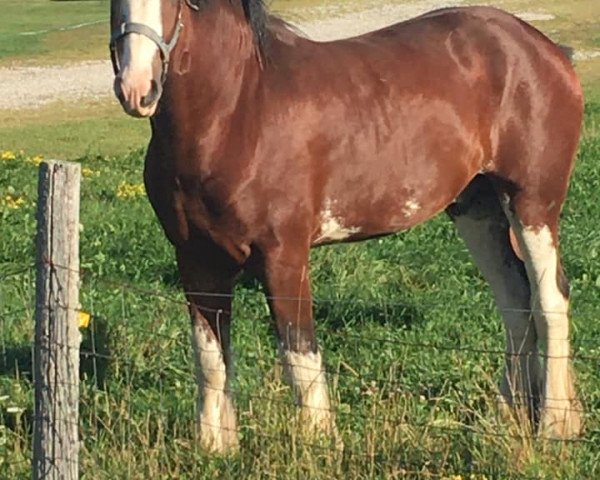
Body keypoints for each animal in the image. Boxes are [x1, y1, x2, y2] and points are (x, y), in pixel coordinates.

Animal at [108, 0, 580, 452]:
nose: (137, 88)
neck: (237, 111)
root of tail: (547, 49)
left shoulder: (284, 256)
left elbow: (299, 355)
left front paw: (319, 445)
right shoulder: (196, 260)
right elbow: (211, 360)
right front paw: (214, 448)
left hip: (532, 203)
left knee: (549, 299)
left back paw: (555, 426)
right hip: (476, 208)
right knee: (515, 300)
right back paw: (509, 419)